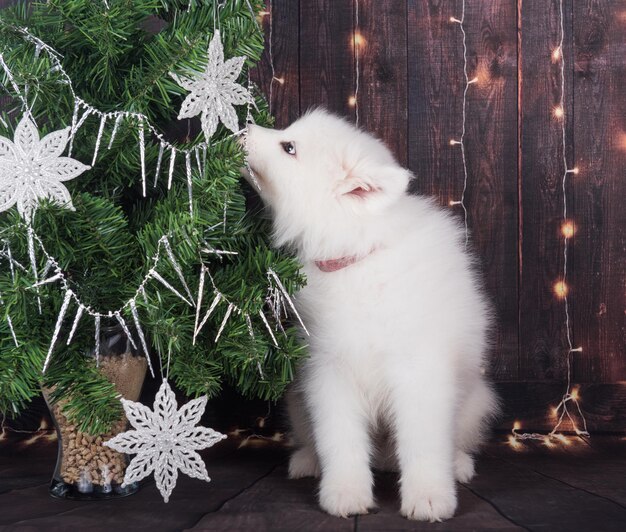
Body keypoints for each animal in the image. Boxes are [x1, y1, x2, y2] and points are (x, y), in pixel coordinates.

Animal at [243, 110, 498, 520]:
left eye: (289, 147)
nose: (240, 127)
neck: (357, 258)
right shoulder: (329, 370)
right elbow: (339, 439)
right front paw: (345, 494)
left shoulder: (419, 371)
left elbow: (423, 443)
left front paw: (429, 497)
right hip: (297, 400)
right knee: (313, 440)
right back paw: (307, 461)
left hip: (475, 401)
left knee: (452, 441)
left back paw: (457, 464)